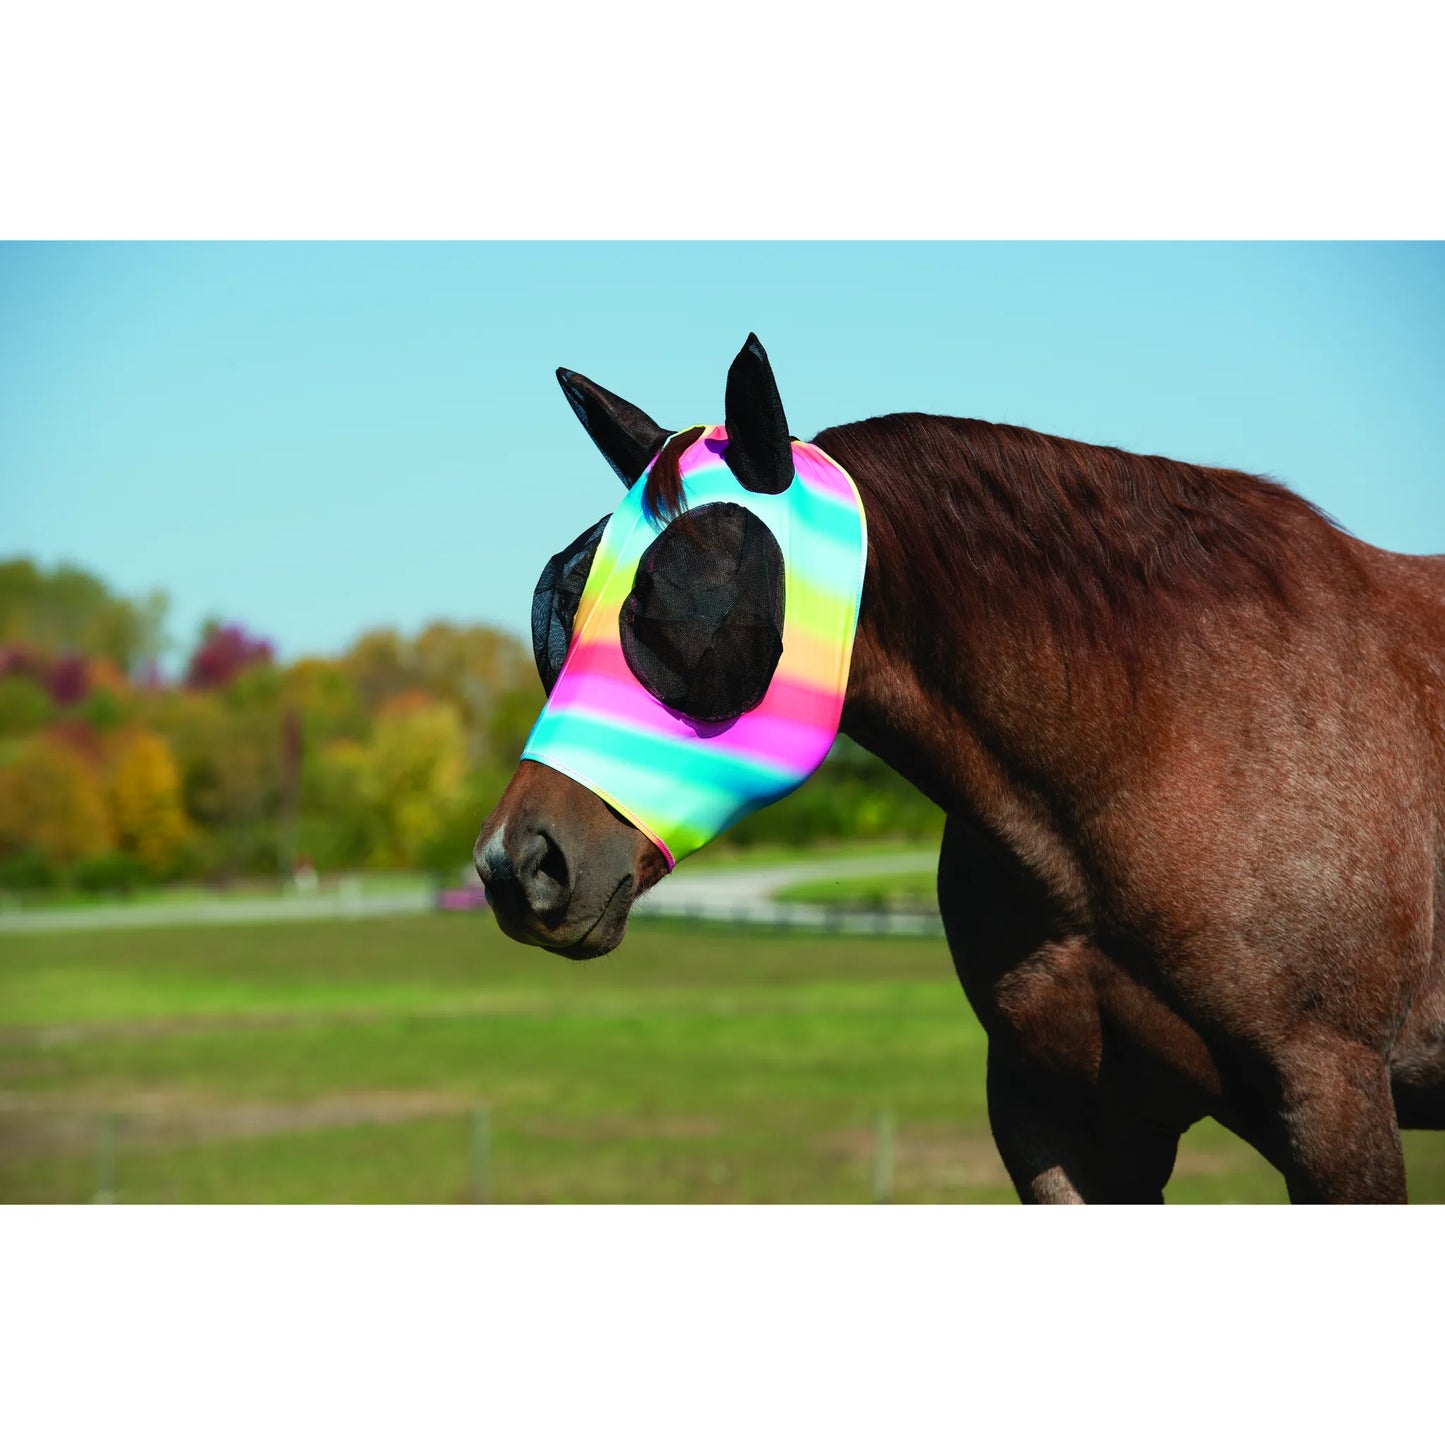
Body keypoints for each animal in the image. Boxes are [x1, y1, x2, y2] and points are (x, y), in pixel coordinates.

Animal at [476, 335, 1445, 1204]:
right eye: (559, 601)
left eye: (690, 599)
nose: (516, 863)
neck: (1164, 743)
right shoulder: (1055, 1120)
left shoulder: (1332, 1102)